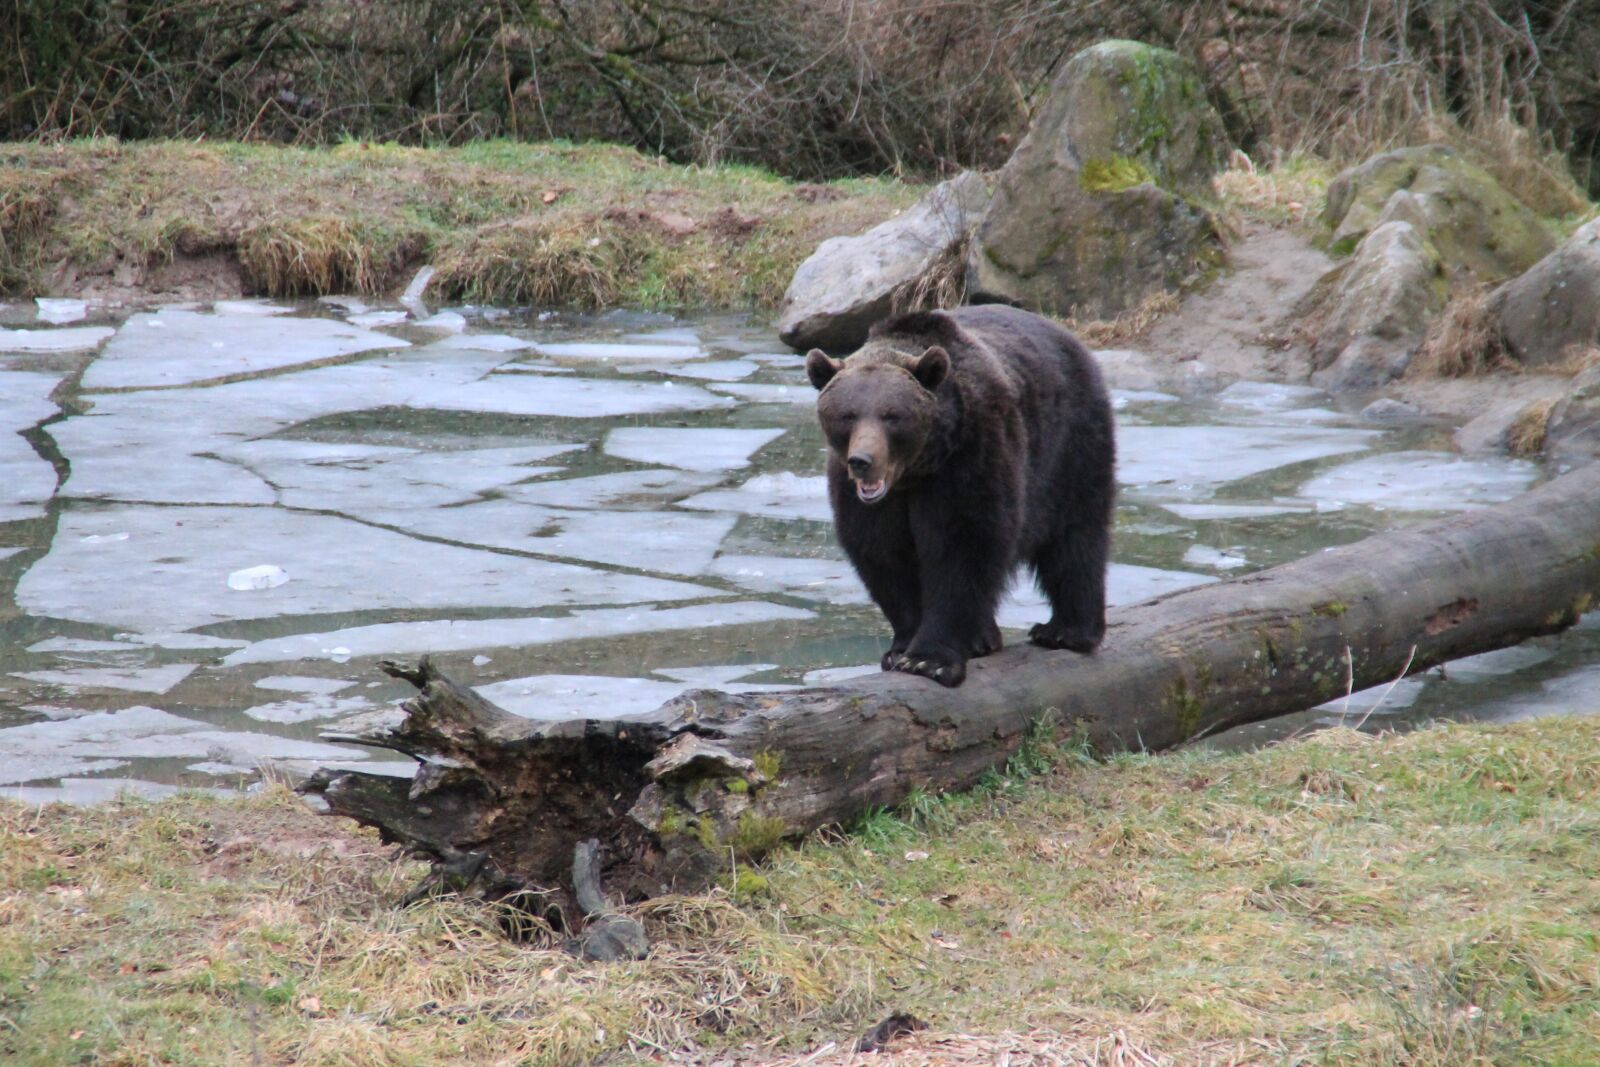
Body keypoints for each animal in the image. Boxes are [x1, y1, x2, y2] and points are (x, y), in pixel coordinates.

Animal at [805, 304, 1115, 687]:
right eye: (847, 415)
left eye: (892, 415)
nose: (862, 461)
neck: (915, 472)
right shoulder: (866, 500)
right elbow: (884, 555)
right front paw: (900, 648)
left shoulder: (969, 456)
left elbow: (962, 547)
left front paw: (929, 660)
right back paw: (986, 637)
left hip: (1070, 445)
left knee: (1076, 537)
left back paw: (1065, 631)